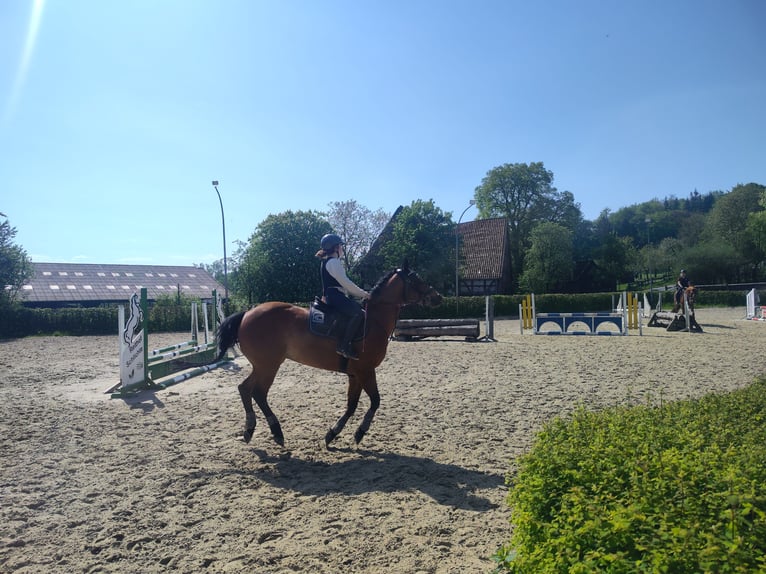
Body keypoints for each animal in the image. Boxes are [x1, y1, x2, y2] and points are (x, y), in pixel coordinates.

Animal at [216, 266, 444, 450]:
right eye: (416, 279)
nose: (438, 297)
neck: (373, 321)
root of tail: (247, 314)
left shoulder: (355, 375)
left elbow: (352, 405)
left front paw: (332, 434)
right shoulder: (366, 371)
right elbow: (375, 401)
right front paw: (359, 432)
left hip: (262, 366)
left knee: (245, 389)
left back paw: (249, 430)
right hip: (268, 366)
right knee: (258, 393)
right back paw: (276, 432)